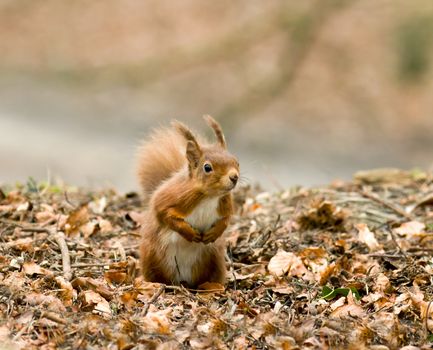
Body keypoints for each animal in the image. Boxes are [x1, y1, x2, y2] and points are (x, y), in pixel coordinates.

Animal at [137, 115, 238, 288]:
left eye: (236, 161)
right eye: (207, 168)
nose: (234, 177)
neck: (209, 196)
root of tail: (182, 281)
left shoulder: (225, 204)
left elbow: (226, 219)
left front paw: (215, 232)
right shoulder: (172, 197)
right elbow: (164, 214)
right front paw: (189, 233)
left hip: (214, 260)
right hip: (152, 256)